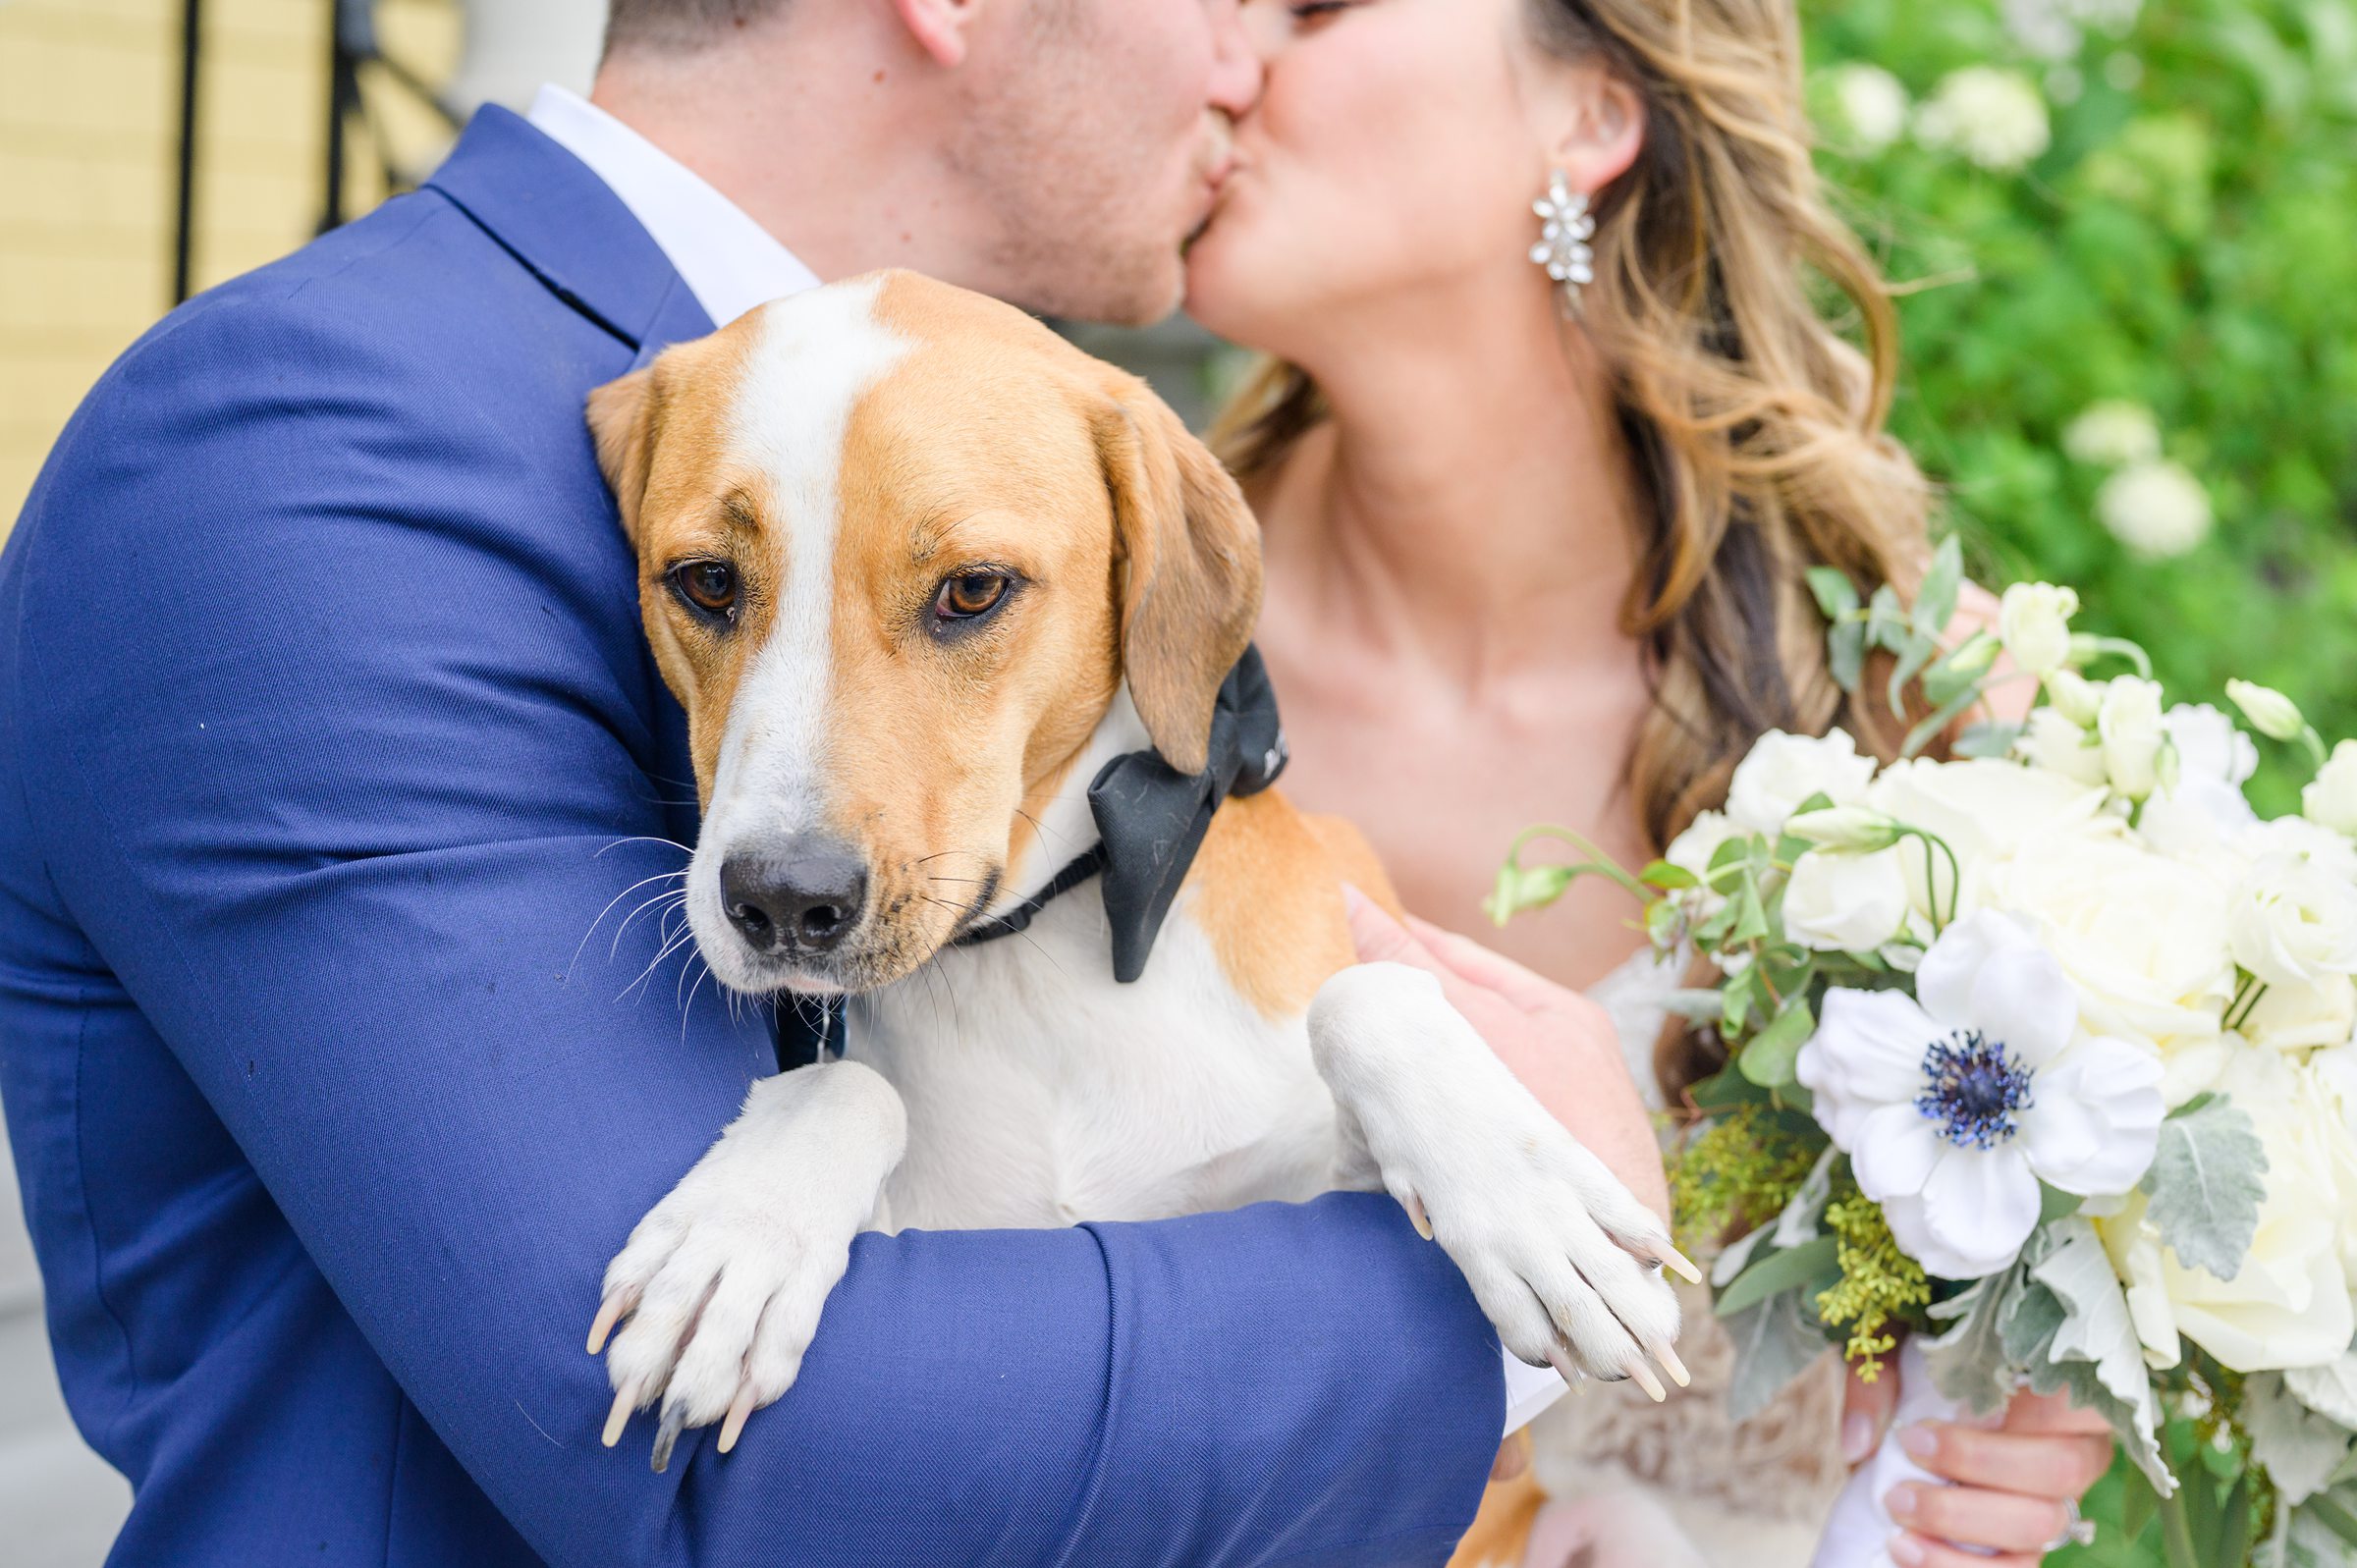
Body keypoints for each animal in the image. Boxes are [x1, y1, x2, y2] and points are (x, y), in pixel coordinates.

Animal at [589, 272, 1697, 1555]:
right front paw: (734, 1242)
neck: (1045, 948)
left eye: (973, 590)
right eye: (706, 581)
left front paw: (1536, 1203)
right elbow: (851, 1086)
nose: (779, 898)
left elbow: (1370, 996)